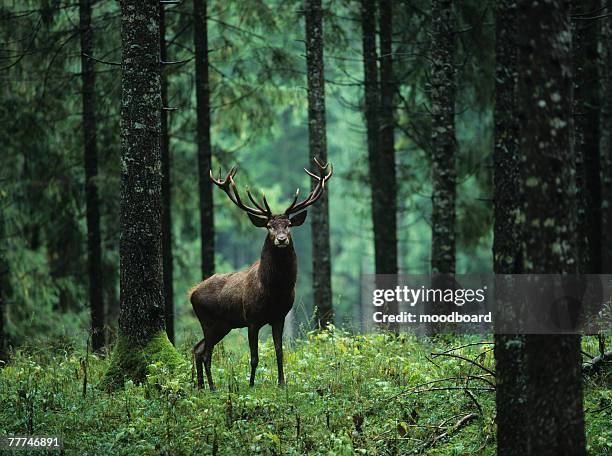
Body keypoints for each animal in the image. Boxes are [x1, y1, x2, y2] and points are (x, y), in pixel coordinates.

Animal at [190, 159, 334, 390]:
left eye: (289, 225)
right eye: (269, 226)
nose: (282, 239)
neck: (273, 291)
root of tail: (192, 293)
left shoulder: (279, 317)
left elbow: (279, 352)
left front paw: (282, 383)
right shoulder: (252, 319)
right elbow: (254, 357)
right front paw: (250, 385)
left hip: (223, 325)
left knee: (198, 349)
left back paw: (202, 387)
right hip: (209, 321)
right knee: (205, 353)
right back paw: (211, 387)